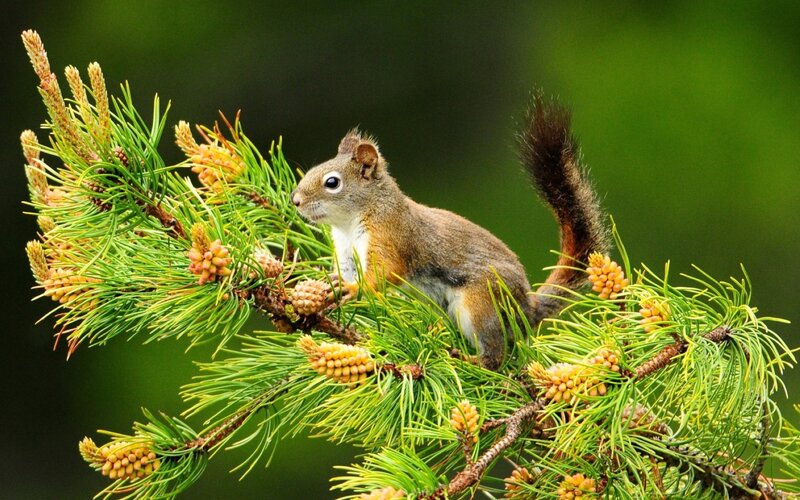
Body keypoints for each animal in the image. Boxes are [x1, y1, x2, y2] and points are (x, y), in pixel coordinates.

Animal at [291, 92, 608, 370]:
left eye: (332, 182)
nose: (295, 200)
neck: (349, 223)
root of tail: (526, 308)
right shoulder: (345, 252)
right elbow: (344, 272)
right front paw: (329, 286)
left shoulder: (391, 236)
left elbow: (385, 272)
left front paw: (353, 288)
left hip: (480, 303)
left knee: (495, 353)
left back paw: (472, 361)